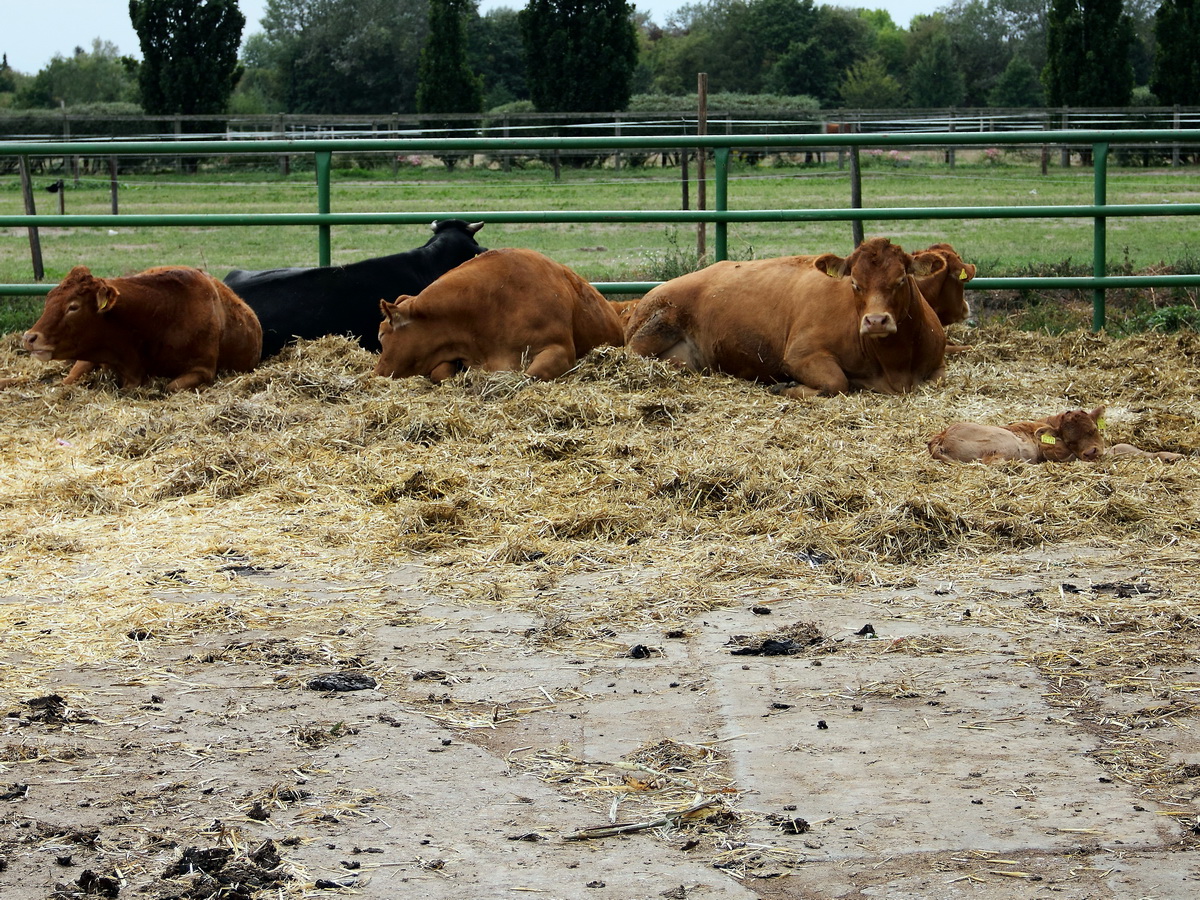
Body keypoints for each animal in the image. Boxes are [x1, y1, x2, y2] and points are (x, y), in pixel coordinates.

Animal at [628, 236, 945, 398]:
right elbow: (836, 383)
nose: (876, 321)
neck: (894, 366)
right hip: (658, 325)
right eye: (855, 283)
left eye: (901, 279)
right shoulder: (800, 355)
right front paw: (785, 386)